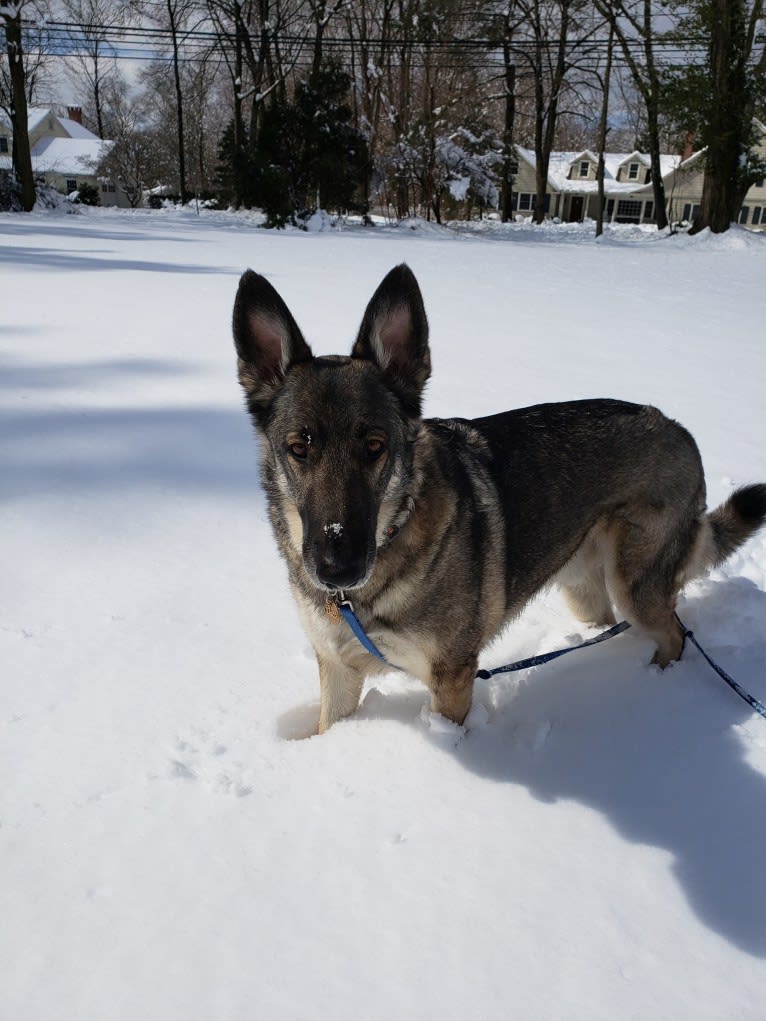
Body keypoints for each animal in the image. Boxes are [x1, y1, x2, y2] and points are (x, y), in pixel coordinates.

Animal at [232, 263, 766, 735]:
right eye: (299, 448)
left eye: (375, 447)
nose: (336, 568)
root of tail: (680, 429)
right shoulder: (339, 671)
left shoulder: (450, 681)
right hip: (583, 588)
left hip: (637, 587)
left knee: (675, 634)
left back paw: (654, 686)